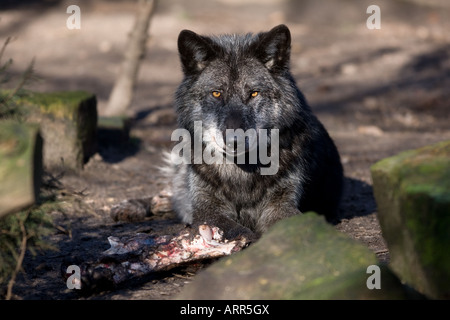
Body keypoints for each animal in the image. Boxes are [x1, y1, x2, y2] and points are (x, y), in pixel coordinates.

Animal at [168, 24, 342, 240]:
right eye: (216, 93)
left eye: (253, 93)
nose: (234, 140)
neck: (242, 171)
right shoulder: (206, 210)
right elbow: (234, 229)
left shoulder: (282, 205)